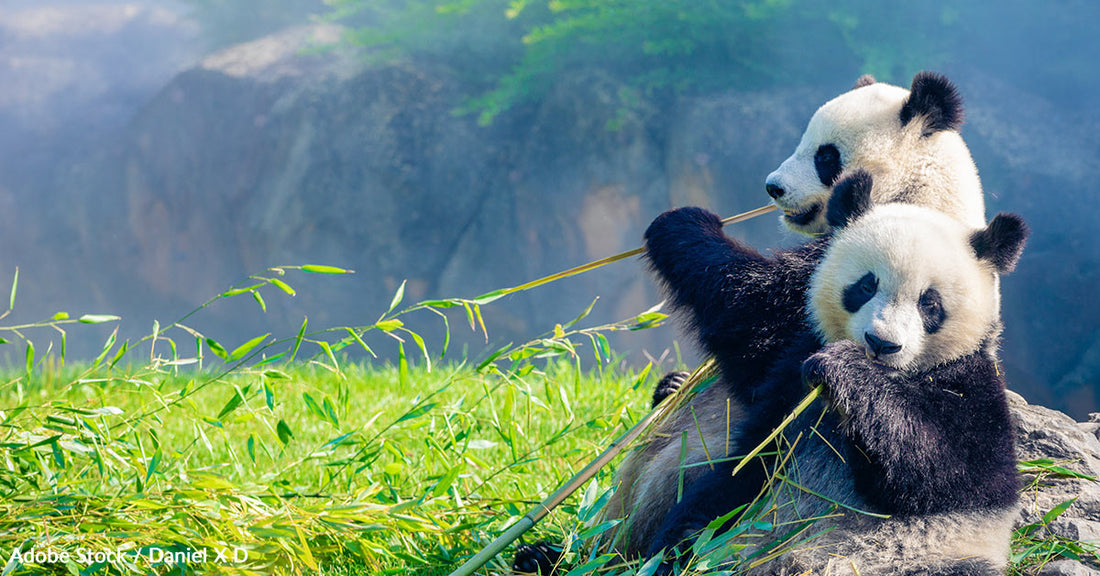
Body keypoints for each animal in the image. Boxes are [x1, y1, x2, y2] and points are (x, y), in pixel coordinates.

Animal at [640, 172, 1026, 575]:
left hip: (935, 559)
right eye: (866, 285)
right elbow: (751, 459)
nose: (881, 343)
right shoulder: (790, 384)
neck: (894, 377)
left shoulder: (971, 386)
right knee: (699, 528)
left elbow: (947, 473)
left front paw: (843, 368)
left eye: (929, 303)